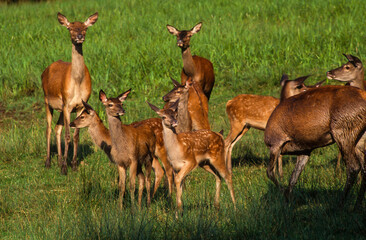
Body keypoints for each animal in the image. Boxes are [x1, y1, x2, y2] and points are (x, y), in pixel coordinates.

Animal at [41, 11, 98, 174]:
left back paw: (60, 160)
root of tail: (45, 70)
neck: (77, 82)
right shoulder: (67, 104)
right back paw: (48, 162)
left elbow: (76, 135)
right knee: (48, 129)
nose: (79, 36)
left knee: (57, 128)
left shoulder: (80, 105)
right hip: (47, 101)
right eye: (70, 28)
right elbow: (67, 135)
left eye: (85, 28)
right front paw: (65, 168)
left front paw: (72, 165)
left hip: (60, 107)